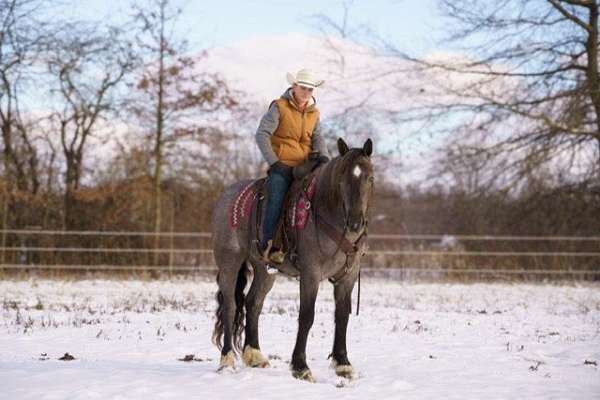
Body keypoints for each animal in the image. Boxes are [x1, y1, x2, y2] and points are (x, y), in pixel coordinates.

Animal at [210, 138, 370, 382]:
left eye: (369, 177)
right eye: (342, 176)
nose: (355, 223)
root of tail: (226, 196)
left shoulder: (348, 276)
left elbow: (342, 316)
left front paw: (343, 364)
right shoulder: (310, 273)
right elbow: (306, 316)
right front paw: (300, 366)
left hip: (264, 270)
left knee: (253, 303)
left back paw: (254, 355)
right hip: (230, 262)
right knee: (230, 305)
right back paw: (227, 359)